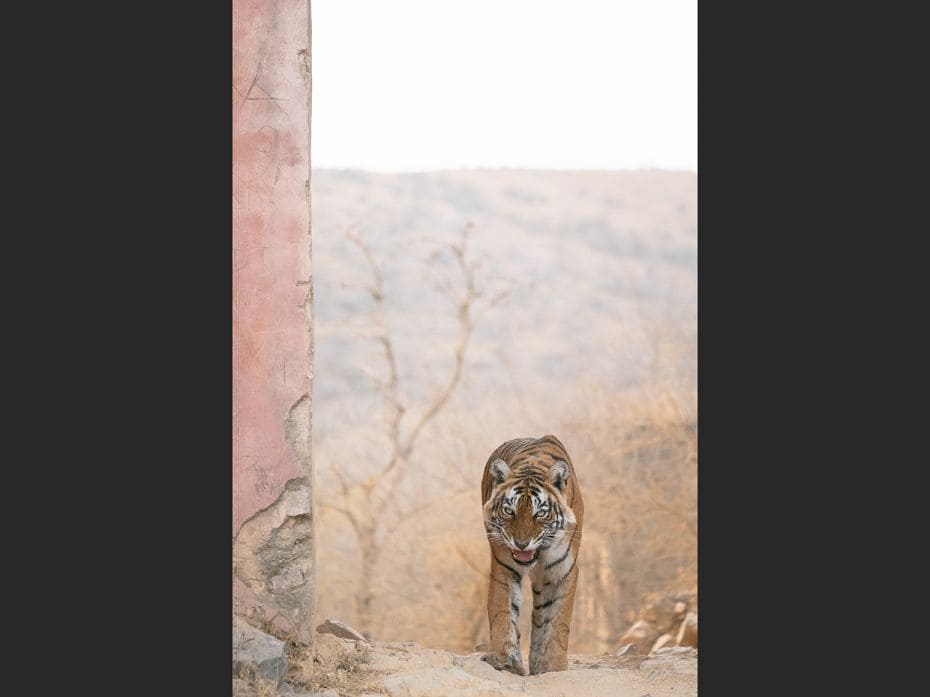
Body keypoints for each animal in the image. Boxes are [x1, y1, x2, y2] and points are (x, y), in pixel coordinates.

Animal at [478, 436, 580, 676]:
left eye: (540, 513)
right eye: (509, 511)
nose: (521, 544)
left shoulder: (563, 571)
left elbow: (558, 623)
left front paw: (553, 666)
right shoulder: (504, 568)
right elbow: (502, 611)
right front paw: (502, 658)